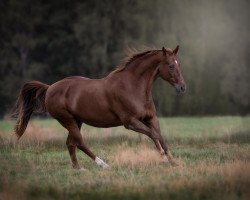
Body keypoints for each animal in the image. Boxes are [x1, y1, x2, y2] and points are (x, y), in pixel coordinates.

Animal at [13, 46, 186, 170]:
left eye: (179, 64)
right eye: (171, 66)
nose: (182, 87)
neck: (133, 86)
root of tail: (49, 88)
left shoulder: (150, 118)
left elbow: (159, 136)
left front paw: (172, 161)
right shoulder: (130, 122)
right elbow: (154, 135)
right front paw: (164, 158)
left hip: (77, 121)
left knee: (71, 143)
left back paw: (79, 168)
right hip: (67, 120)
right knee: (79, 142)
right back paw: (103, 165)